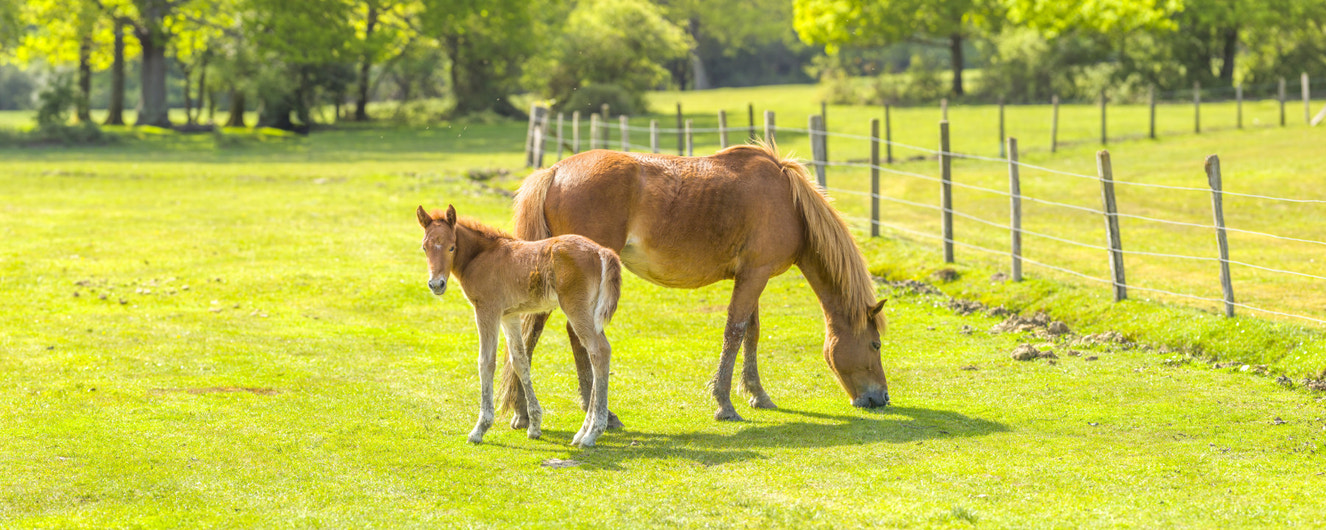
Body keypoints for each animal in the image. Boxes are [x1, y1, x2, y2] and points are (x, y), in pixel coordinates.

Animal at [416, 204, 622, 447]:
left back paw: (591, 434)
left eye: (451, 247)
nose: (436, 284)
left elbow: (486, 362)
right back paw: (582, 432)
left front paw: (480, 429)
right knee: (599, 353)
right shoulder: (510, 316)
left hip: (577, 309)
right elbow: (519, 361)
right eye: (425, 247)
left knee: (599, 352)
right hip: (590, 312)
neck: (482, 256)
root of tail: (602, 251)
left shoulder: (487, 310)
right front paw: (534, 426)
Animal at [500, 142, 888, 428]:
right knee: (564, 333)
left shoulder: (752, 276)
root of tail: (554, 172)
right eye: (876, 344)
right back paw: (596, 413)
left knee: (540, 332)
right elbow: (735, 331)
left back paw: (528, 411)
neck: (789, 202)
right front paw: (725, 404)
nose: (881, 398)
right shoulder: (754, 276)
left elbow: (751, 334)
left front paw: (758, 395)